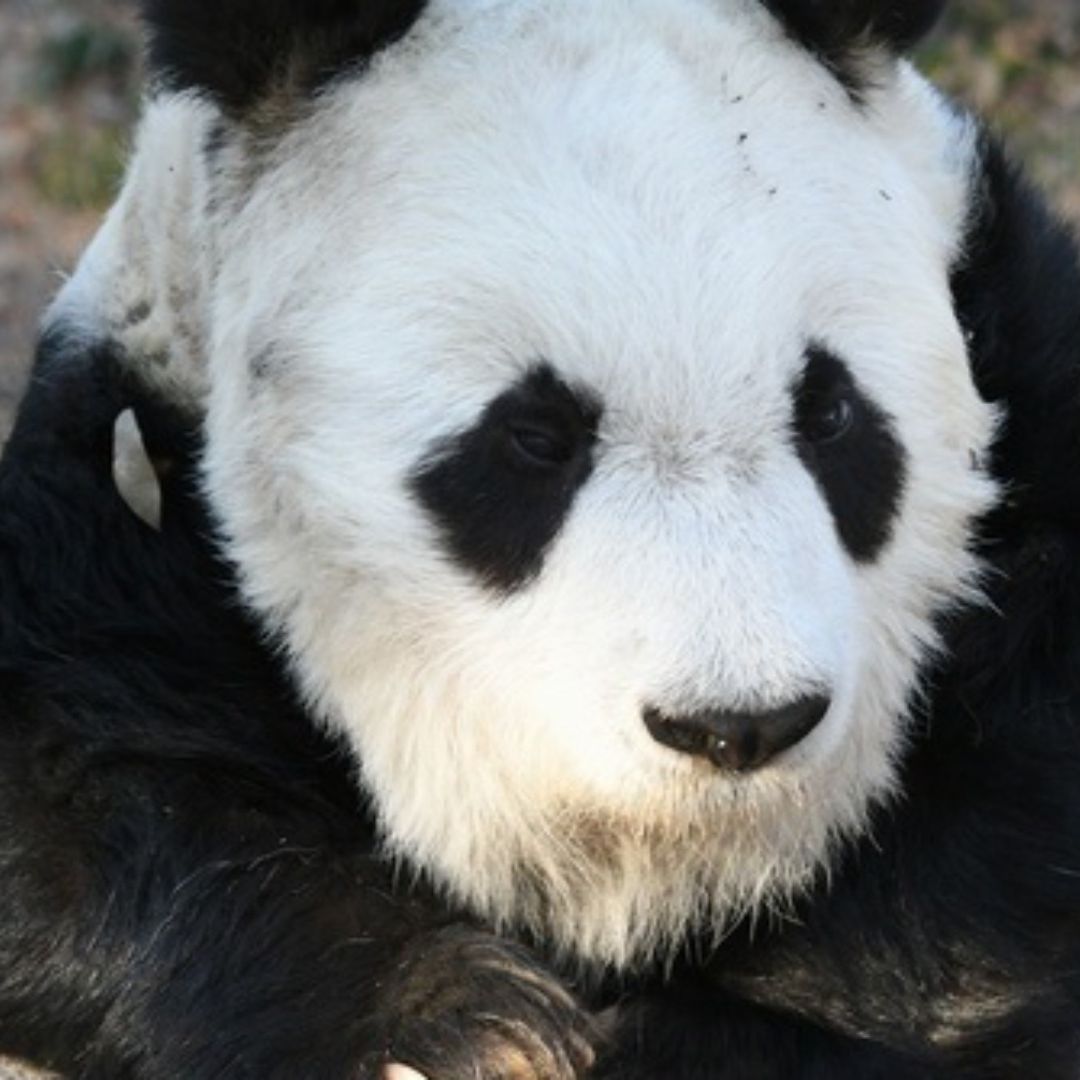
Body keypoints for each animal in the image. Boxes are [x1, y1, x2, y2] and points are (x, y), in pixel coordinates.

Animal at [2, 0, 1080, 1076]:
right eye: (534, 439)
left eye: (829, 414)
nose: (739, 726)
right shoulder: (125, 485)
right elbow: (79, 803)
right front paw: (463, 1021)